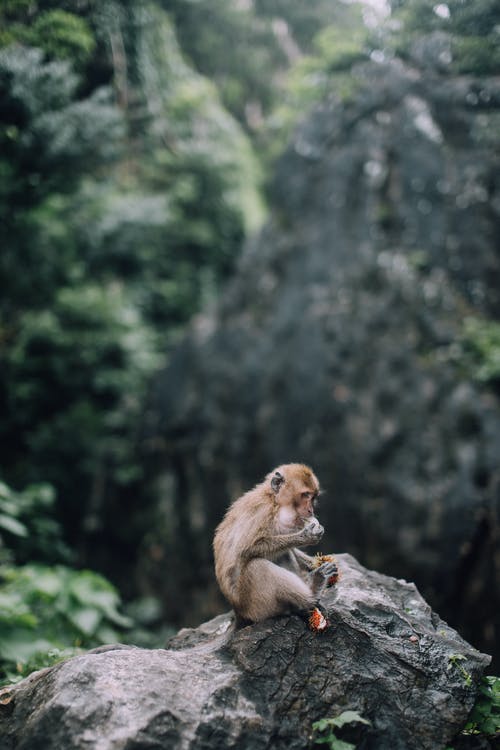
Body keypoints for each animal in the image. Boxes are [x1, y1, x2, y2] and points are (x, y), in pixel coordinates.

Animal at [213, 464, 338, 628]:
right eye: (305, 495)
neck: (275, 501)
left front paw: (313, 563)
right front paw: (306, 536)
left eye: (313, 497)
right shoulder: (262, 511)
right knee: (257, 565)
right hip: (257, 606)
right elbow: (246, 549)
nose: (311, 510)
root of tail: (239, 614)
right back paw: (312, 592)